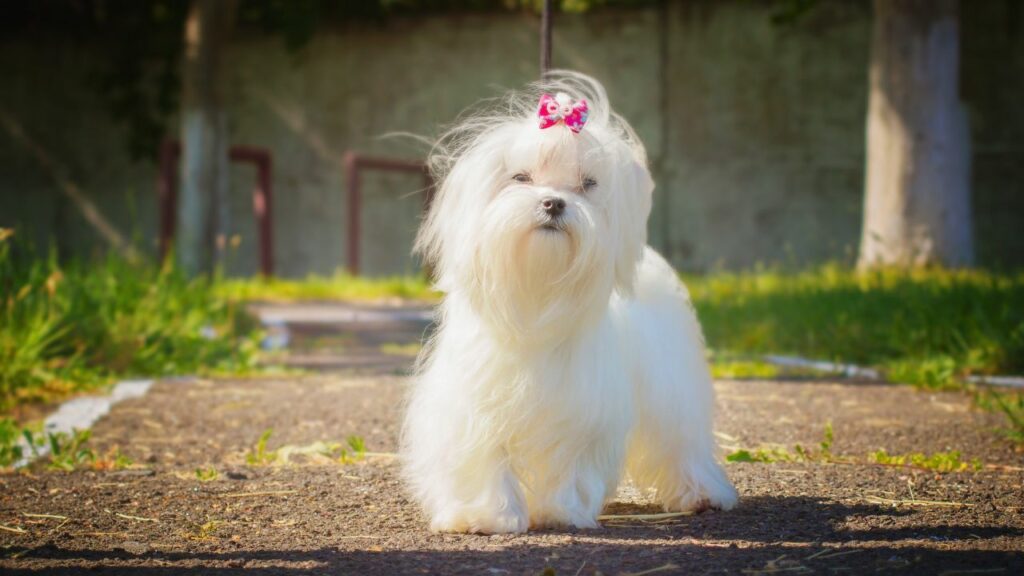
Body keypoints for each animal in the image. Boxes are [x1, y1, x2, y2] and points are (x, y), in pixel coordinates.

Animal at [399, 71, 737, 532]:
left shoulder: (582, 412)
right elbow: (484, 459)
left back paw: (702, 494)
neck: (537, 294)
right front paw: (485, 516)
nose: (554, 202)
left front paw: (562, 511)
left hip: (672, 390)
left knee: (681, 440)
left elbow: (570, 463)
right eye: (520, 177)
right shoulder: (474, 409)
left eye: (587, 184)